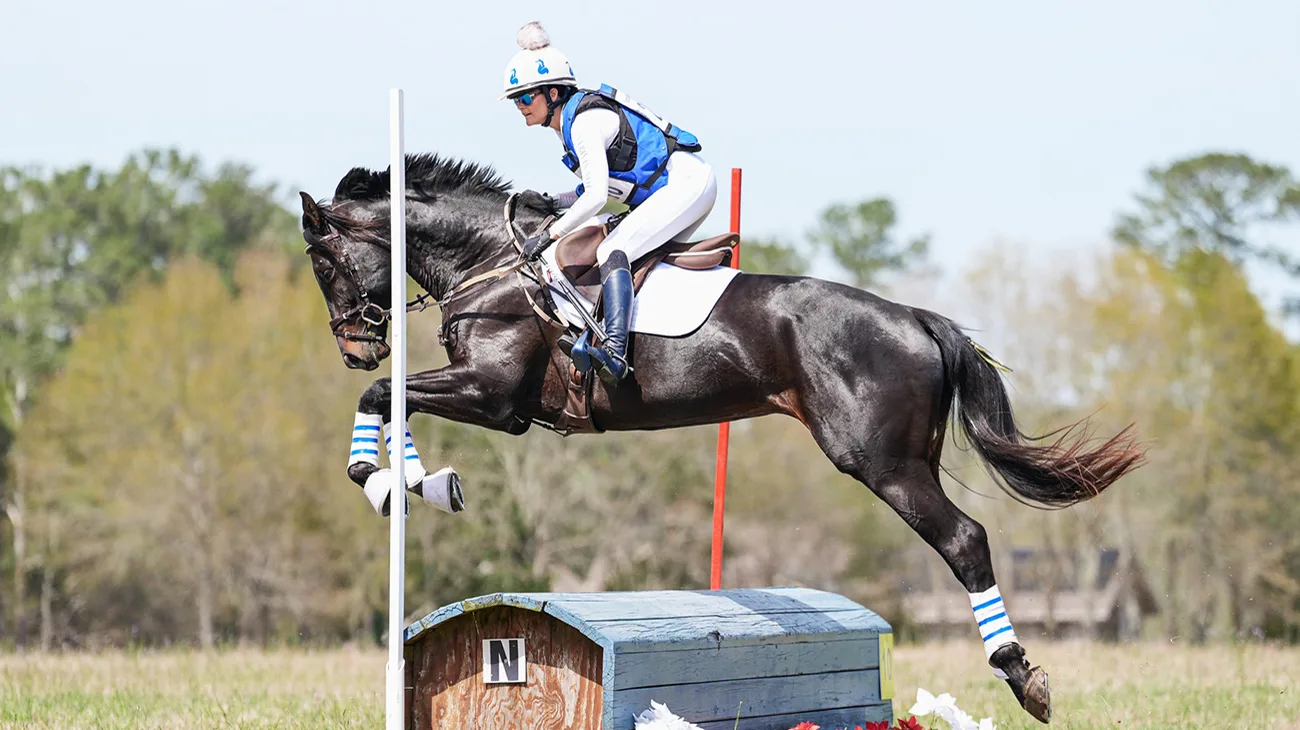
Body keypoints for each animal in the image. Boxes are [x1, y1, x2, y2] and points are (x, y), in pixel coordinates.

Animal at [299, 153, 1144, 722]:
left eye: (324, 262)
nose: (354, 346)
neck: (495, 263)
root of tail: (914, 317)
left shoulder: (492, 393)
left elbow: (384, 397)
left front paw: (388, 480)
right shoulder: (484, 394)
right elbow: (391, 402)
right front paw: (414, 482)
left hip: (879, 461)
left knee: (965, 539)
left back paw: (1023, 676)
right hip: (907, 456)